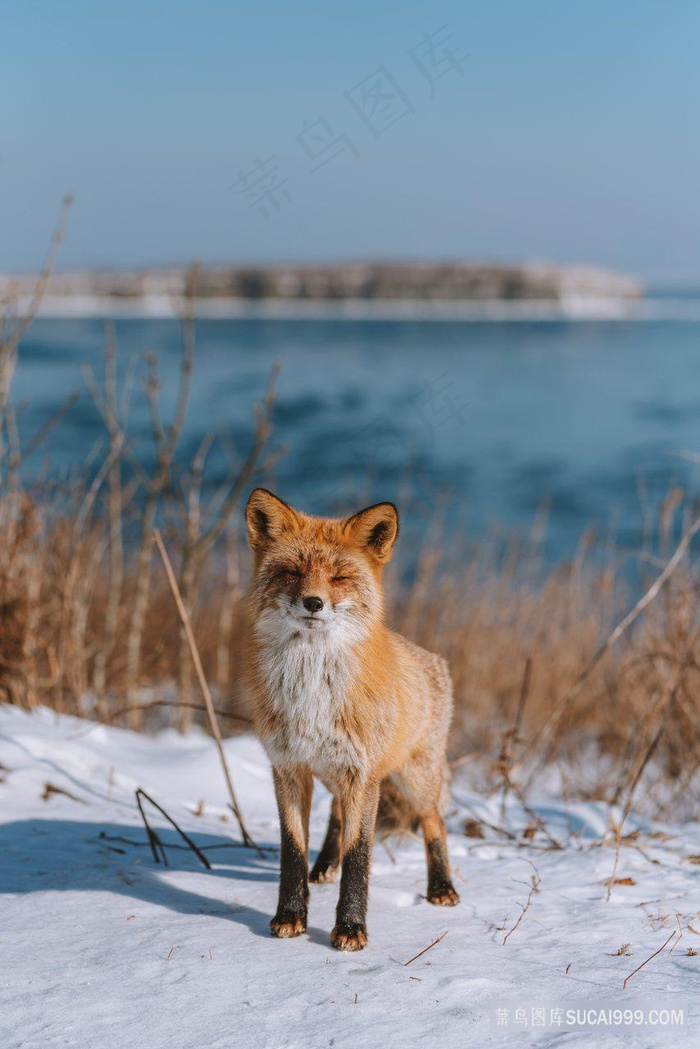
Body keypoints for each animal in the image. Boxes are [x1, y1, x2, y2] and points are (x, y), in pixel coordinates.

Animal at [242, 488, 459, 952]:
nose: (313, 602)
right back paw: (324, 866)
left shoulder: (362, 774)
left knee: (435, 823)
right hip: (333, 775)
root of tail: (434, 660)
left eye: (339, 577)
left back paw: (442, 888)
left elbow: (359, 855)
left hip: (414, 779)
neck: (311, 691)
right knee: (337, 814)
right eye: (291, 572)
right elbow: (292, 849)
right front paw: (290, 916)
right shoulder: (289, 768)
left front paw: (350, 929)